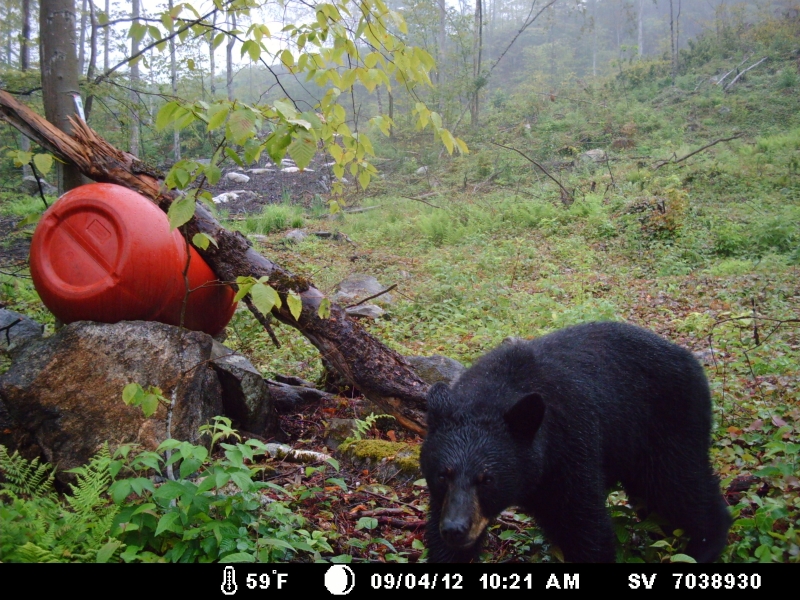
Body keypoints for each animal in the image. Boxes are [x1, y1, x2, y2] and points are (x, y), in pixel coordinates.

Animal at [420, 321, 731, 563]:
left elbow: (584, 526)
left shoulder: (569, 446)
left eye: (487, 479)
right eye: (442, 475)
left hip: (668, 423)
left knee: (680, 486)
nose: (455, 529)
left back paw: (705, 545)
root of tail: (689, 358)